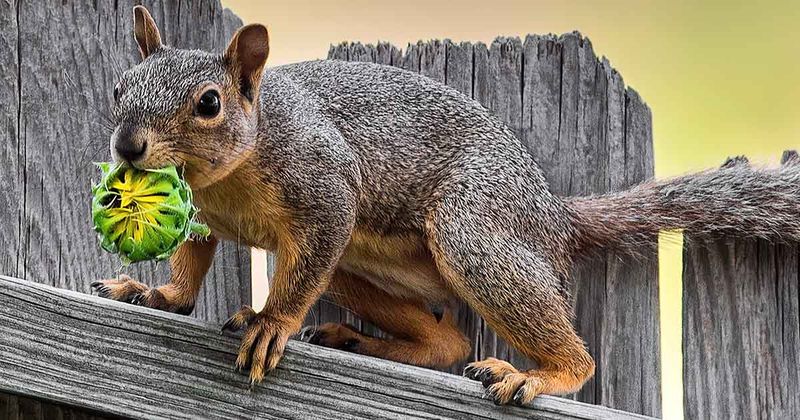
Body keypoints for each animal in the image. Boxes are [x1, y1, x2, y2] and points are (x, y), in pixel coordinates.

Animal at [92, 6, 800, 406]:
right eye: (120, 88)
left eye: (210, 103)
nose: (128, 146)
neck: (231, 174)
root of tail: (554, 217)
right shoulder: (201, 214)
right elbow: (191, 262)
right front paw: (156, 293)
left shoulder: (326, 190)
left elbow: (300, 268)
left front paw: (272, 323)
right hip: (357, 269)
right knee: (450, 342)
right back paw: (367, 342)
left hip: (471, 233)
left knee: (563, 352)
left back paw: (542, 375)